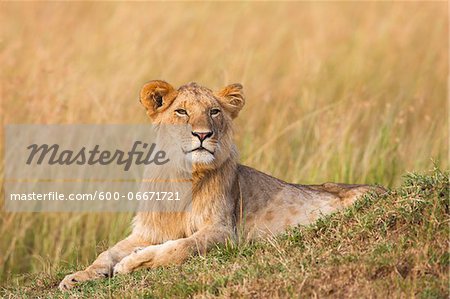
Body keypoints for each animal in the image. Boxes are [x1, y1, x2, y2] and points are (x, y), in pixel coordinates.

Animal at [59, 81, 384, 292]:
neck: (183, 177)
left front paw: (131, 263)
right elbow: (106, 253)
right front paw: (76, 277)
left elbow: (180, 247)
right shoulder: (148, 231)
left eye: (214, 111)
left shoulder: (224, 232)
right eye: (182, 112)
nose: (203, 134)